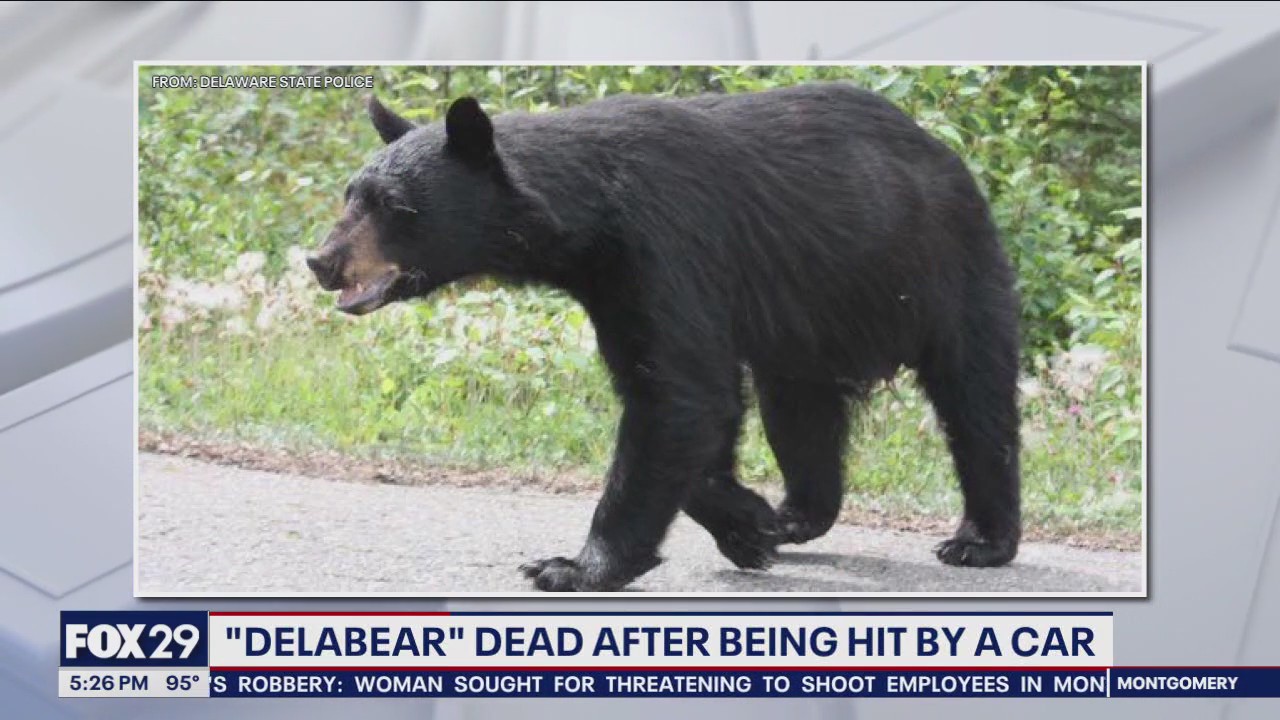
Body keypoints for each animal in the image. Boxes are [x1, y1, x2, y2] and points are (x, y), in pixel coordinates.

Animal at [306, 82, 1023, 592]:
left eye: (395, 208)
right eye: (350, 195)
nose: (322, 261)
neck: (589, 220)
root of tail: (950, 156)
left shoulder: (665, 249)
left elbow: (680, 393)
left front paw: (571, 566)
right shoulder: (613, 285)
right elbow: (691, 398)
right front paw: (748, 523)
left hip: (947, 272)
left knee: (976, 400)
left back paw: (980, 540)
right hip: (806, 328)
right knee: (799, 413)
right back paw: (797, 514)